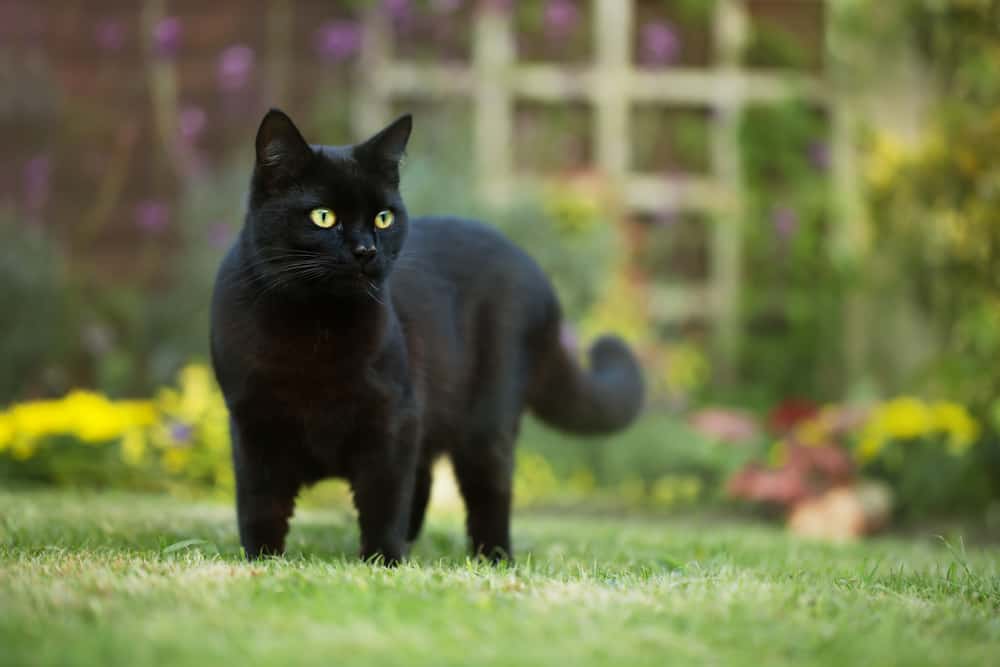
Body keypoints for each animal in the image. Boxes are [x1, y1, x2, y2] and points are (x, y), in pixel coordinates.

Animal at [212, 109, 644, 564]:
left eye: (383, 217)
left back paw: (493, 558)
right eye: (323, 216)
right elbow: (260, 503)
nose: (366, 250)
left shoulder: (393, 417)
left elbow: (384, 499)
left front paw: (382, 562)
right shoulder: (252, 423)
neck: (314, 329)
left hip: (486, 419)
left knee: (487, 490)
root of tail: (532, 268)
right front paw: (262, 560)